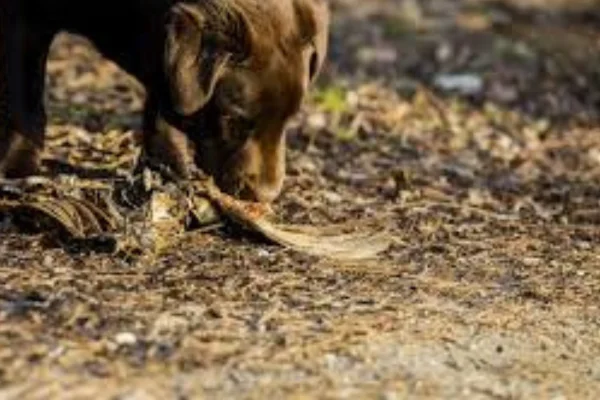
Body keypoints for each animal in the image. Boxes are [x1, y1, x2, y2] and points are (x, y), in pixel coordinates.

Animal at [0, 0, 330, 203]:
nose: (266, 196)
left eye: (288, 120)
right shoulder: (23, 16)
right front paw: (16, 167)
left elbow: (165, 108)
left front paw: (168, 172)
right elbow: (25, 97)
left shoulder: (162, 55)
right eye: (232, 119)